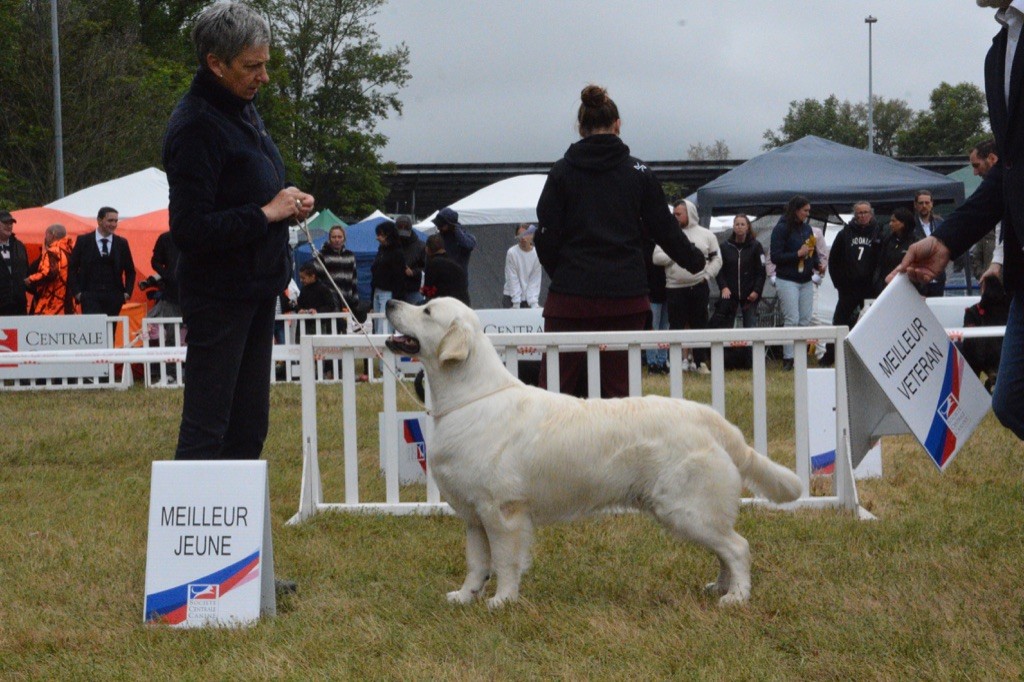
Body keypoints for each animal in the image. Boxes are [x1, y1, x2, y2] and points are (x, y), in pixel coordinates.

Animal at [385, 296, 798, 606]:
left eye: (427, 310)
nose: (389, 301)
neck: (471, 397)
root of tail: (710, 417)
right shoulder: (473, 515)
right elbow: (476, 562)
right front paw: (465, 596)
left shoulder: (502, 511)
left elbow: (504, 561)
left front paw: (502, 600)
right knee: (725, 549)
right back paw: (720, 586)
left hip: (687, 509)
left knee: (738, 547)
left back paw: (737, 597)